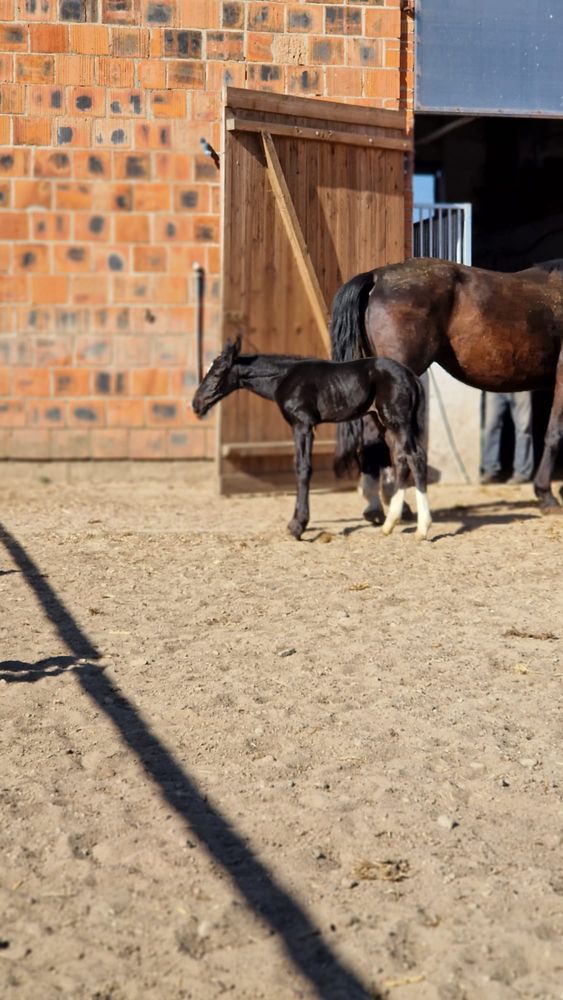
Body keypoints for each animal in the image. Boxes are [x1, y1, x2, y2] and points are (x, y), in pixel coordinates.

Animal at [192, 334, 434, 540]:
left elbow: (303, 468)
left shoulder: (303, 424)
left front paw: (297, 526)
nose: (196, 404)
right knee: (401, 458)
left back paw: (422, 529)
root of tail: (411, 376)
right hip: (384, 422)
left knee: (415, 457)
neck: (284, 377)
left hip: (397, 421)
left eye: (217, 373)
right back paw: (389, 524)